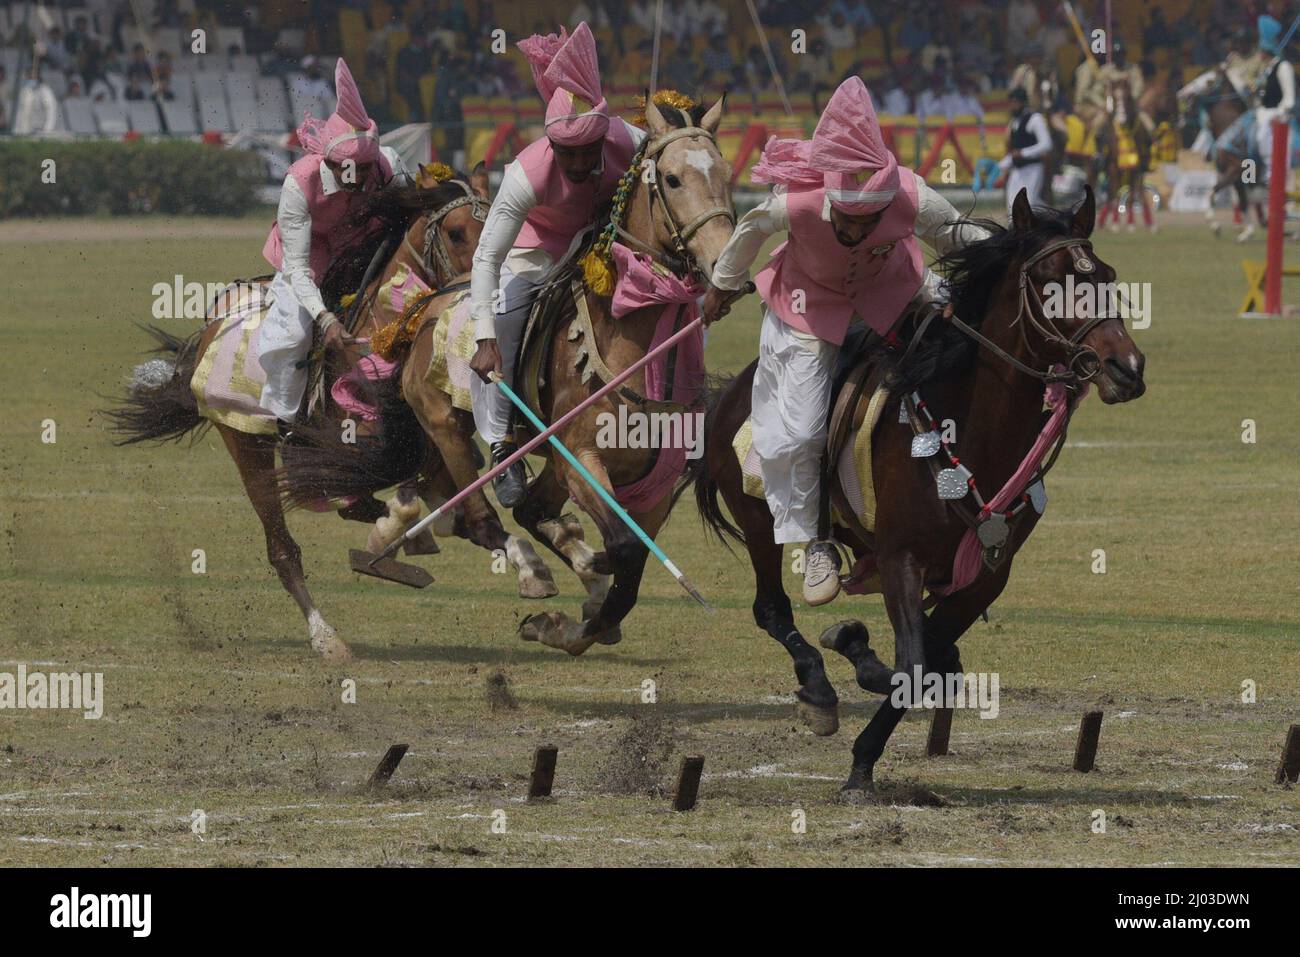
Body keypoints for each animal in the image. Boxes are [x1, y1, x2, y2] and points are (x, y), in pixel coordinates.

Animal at [105, 171, 491, 660]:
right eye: (457, 232)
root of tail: (213, 325)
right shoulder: (353, 441)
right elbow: (386, 485)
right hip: (246, 444)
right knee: (283, 548)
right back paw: (326, 637)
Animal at [691, 188, 1149, 800]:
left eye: (1108, 276)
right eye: (1050, 282)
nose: (1126, 368)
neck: (971, 428)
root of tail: (731, 393)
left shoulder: (985, 576)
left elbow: (930, 660)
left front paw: (864, 757)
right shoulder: (902, 558)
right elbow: (911, 667)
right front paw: (857, 661)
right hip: (760, 521)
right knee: (771, 607)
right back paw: (818, 687)